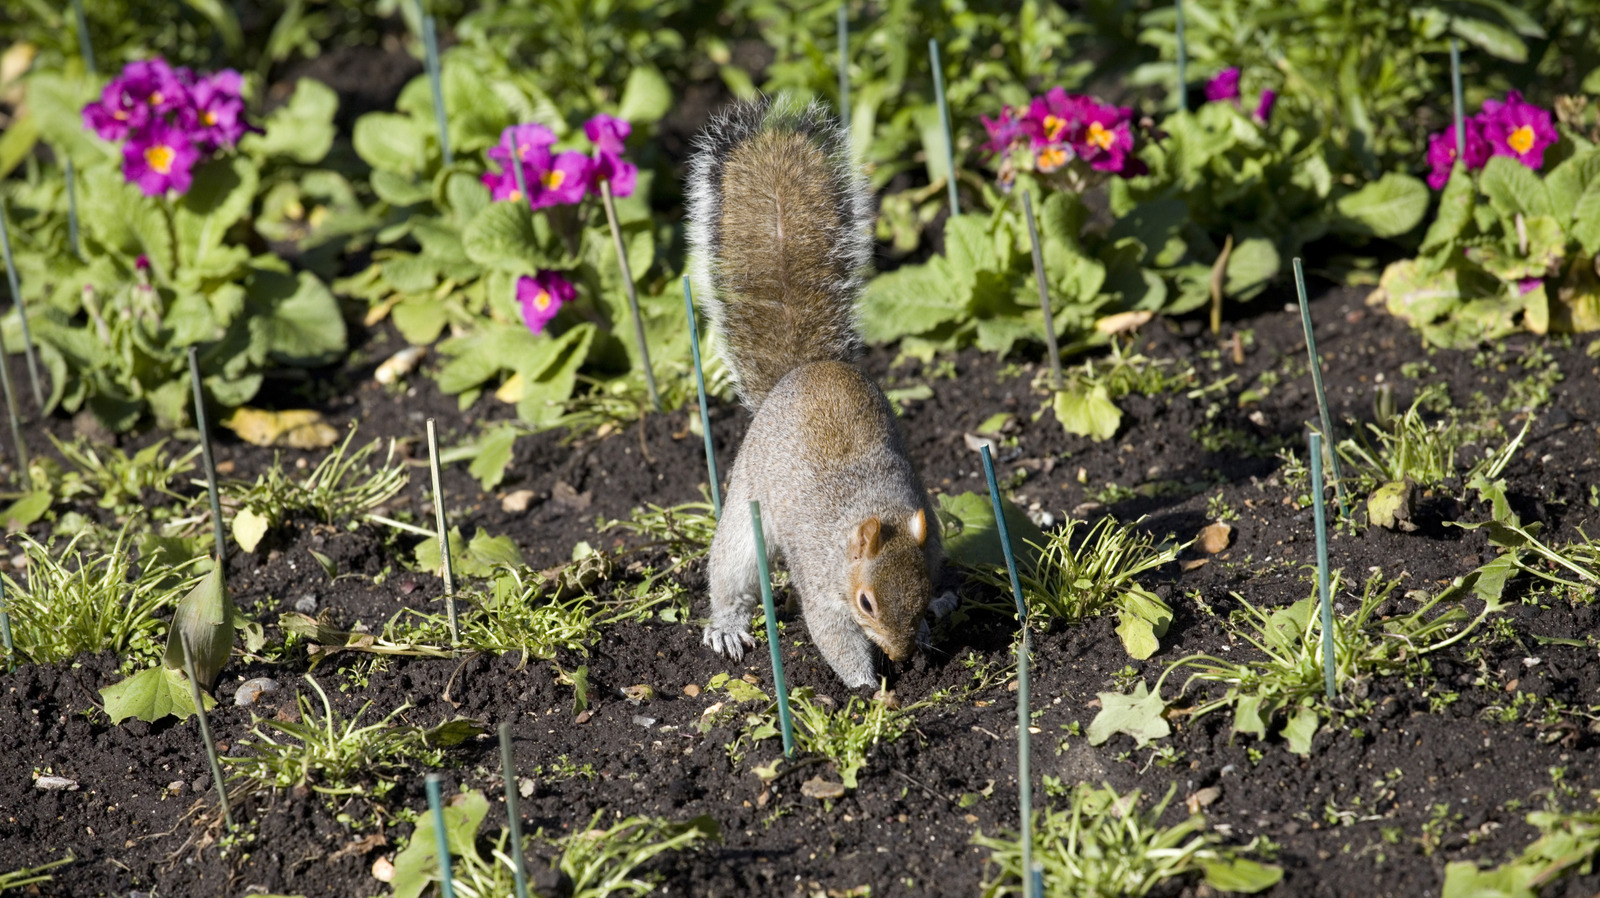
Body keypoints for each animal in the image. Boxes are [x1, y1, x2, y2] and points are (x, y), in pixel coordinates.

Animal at [686, 97, 952, 689]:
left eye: (922, 590)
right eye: (866, 603)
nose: (900, 655)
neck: (872, 509)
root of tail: (806, 370)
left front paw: (926, 635)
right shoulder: (820, 580)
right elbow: (834, 637)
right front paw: (867, 686)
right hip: (744, 514)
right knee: (731, 572)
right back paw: (727, 627)